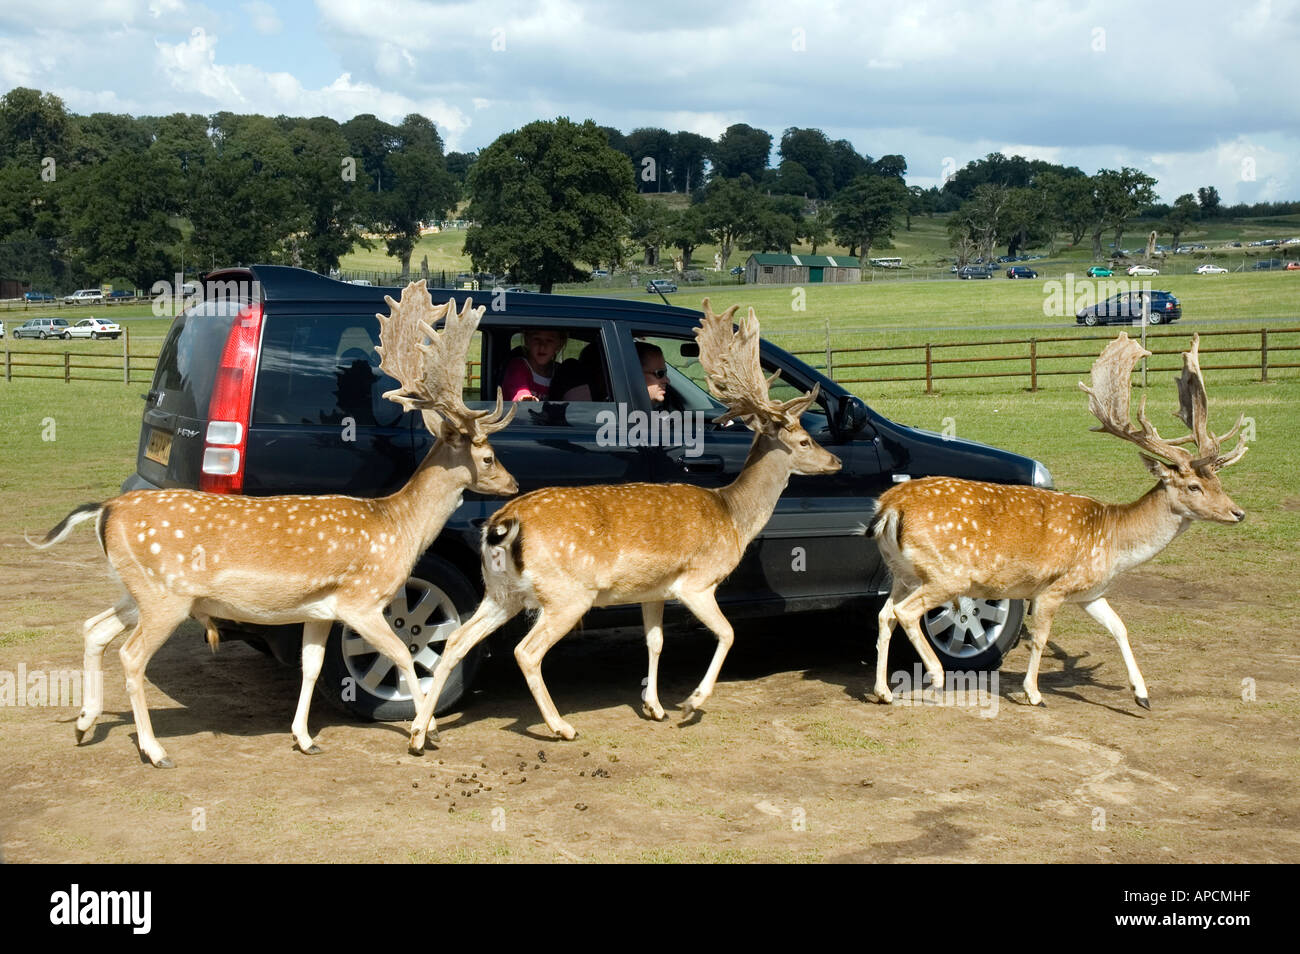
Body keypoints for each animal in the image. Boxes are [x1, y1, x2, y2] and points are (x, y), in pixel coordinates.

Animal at [30, 282, 517, 767]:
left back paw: (84, 723)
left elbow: (312, 666)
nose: (513, 484)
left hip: (137, 590)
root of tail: (106, 510)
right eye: (488, 457)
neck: (396, 526)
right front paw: (422, 731)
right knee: (131, 656)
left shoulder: (321, 609)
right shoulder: (362, 600)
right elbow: (402, 653)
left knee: (94, 628)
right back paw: (154, 749)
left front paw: (304, 737)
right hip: (164, 595)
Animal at [406, 299, 842, 751]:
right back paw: (561, 726)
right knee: (526, 651)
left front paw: (655, 706)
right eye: (805, 440)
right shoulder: (697, 581)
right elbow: (727, 633)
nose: (836, 460)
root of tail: (502, 524)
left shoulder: (653, 589)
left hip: (502, 592)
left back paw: (420, 733)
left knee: (456, 640)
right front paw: (691, 702)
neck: (732, 515)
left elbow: (656, 640)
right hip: (566, 594)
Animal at [869, 332, 1247, 710]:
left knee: (885, 614)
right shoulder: (1054, 587)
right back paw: (935, 677)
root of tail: (889, 507)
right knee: (905, 613)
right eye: (1194, 485)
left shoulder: (1091, 593)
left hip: (903, 572)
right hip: (947, 574)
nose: (1237, 512)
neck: (1113, 540)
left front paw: (1142, 695)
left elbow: (1120, 628)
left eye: (1218, 481)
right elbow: (1040, 637)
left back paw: (883, 691)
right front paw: (1034, 693)